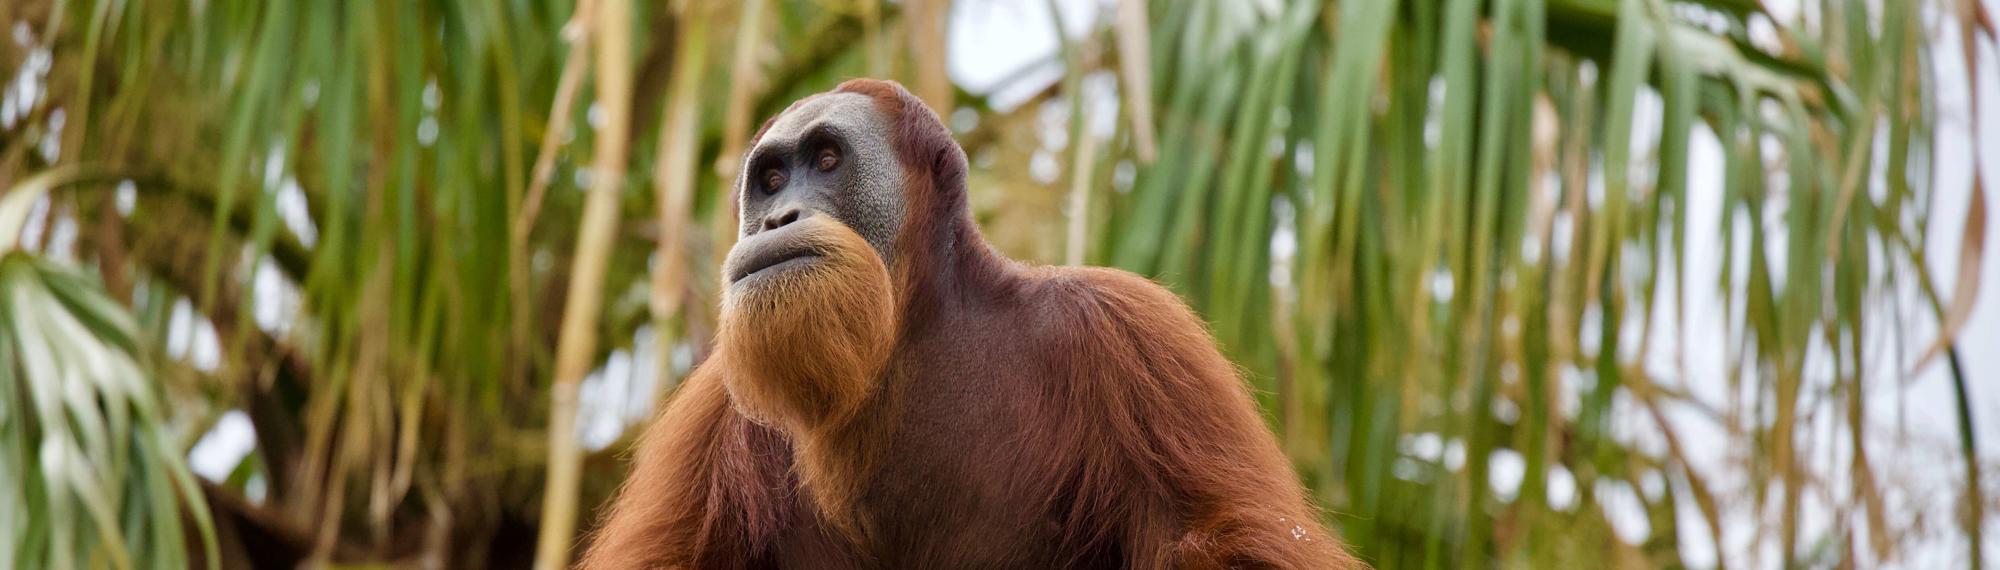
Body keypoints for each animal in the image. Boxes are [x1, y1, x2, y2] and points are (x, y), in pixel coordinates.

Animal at [577, 79, 1363, 569]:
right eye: (770, 181)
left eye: (826, 160)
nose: (775, 219)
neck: (910, 332)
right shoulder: (713, 410)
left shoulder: (1130, 333)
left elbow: (1225, 541)